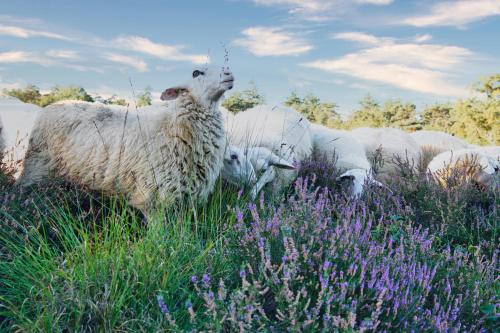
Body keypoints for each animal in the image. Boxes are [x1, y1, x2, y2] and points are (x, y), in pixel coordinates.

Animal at [16, 66, 234, 214]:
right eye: (196, 72)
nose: (228, 73)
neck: (173, 125)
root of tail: (51, 105)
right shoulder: (152, 196)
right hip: (36, 168)